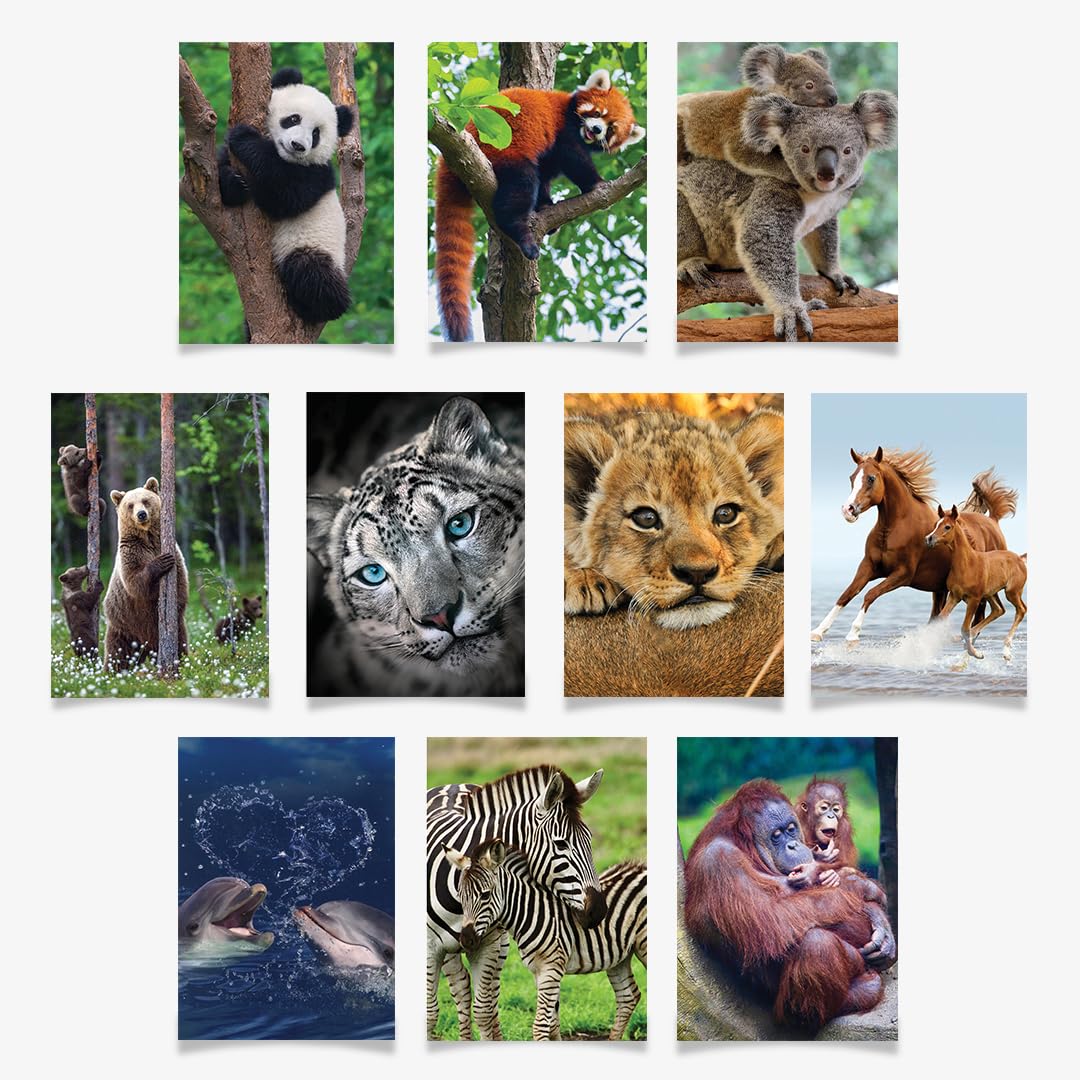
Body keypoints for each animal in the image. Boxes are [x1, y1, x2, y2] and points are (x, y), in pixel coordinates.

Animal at [103, 477, 189, 670]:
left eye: (145, 500)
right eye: (130, 505)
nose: (141, 514)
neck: (148, 538)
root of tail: (146, 646)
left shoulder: (173, 551)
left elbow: (180, 583)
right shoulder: (131, 552)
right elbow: (135, 581)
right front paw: (161, 562)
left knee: (180, 642)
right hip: (123, 624)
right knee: (117, 653)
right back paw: (112, 671)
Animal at [810, 448, 1016, 644]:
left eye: (871, 478)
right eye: (852, 477)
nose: (848, 510)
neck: (894, 528)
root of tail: (993, 521)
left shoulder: (903, 574)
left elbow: (870, 594)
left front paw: (853, 633)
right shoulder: (868, 566)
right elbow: (846, 594)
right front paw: (818, 631)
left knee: (979, 613)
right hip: (940, 589)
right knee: (938, 615)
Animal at [925, 504, 1027, 661]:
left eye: (947, 527)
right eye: (936, 524)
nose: (929, 538)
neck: (967, 564)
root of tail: (1020, 558)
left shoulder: (974, 599)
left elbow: (964, 628)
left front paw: (976, 653)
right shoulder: (954, 596)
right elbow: (942, 617)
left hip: (1012, 592)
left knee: (1021, 610)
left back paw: (1006, 651)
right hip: (990, 593)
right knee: (998, 610)